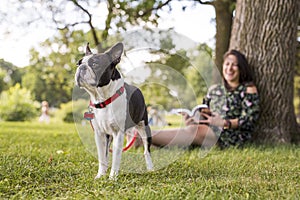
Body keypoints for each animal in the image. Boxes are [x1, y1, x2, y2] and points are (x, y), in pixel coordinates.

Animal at [74, 42, 154, 180]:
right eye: (78, 64)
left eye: (95, 64)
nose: (81, 67)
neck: (103, 100)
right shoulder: (99, 134)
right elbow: (102, 156)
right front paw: (100, 175)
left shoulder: (118, 133)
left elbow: (116, 157)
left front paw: (112, 178)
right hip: (109, 135)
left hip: (144, 127)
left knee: (146, 150)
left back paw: (150, 167)